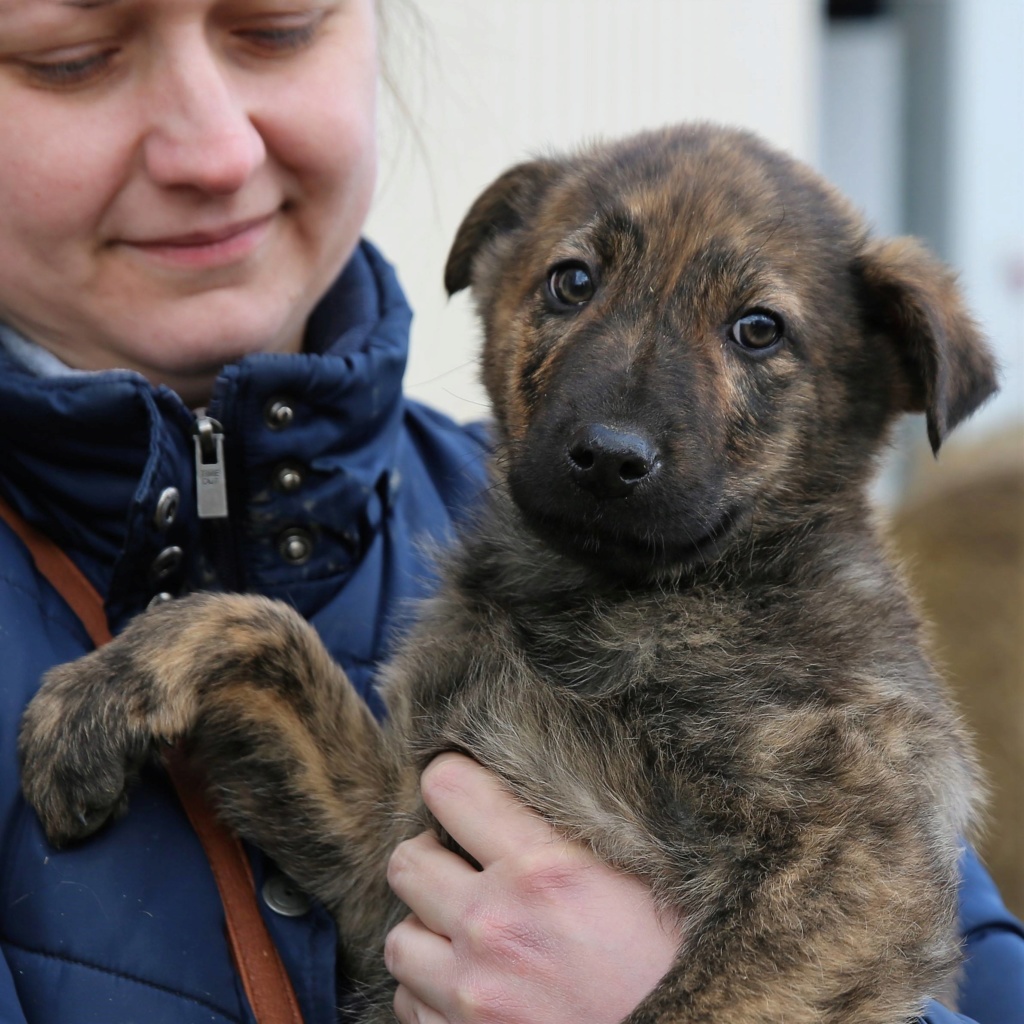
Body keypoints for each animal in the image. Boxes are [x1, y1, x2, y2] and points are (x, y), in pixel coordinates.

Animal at [22, 128, 999, 1024]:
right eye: (573, 281)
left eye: (758, 329)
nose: (610, 457)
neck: (610, 600)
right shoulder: (385, 843)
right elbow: (260, 625)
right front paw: (98, 694)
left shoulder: (858, 853)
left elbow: (686, 1007)